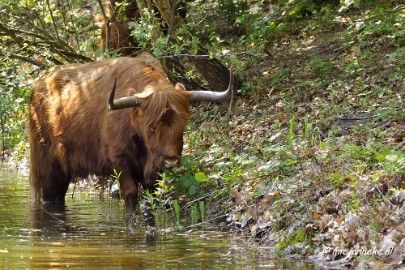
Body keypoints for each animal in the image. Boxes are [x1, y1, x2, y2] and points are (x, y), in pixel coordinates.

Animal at [29, 52, 234, 216]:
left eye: (183, 125)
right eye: (151, 127)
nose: (171, 160)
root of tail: (38, 84)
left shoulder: (153, 168)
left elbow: (152, 197)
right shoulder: (120, 160)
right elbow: (130, 195)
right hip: (47, 165)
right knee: (50, 194)